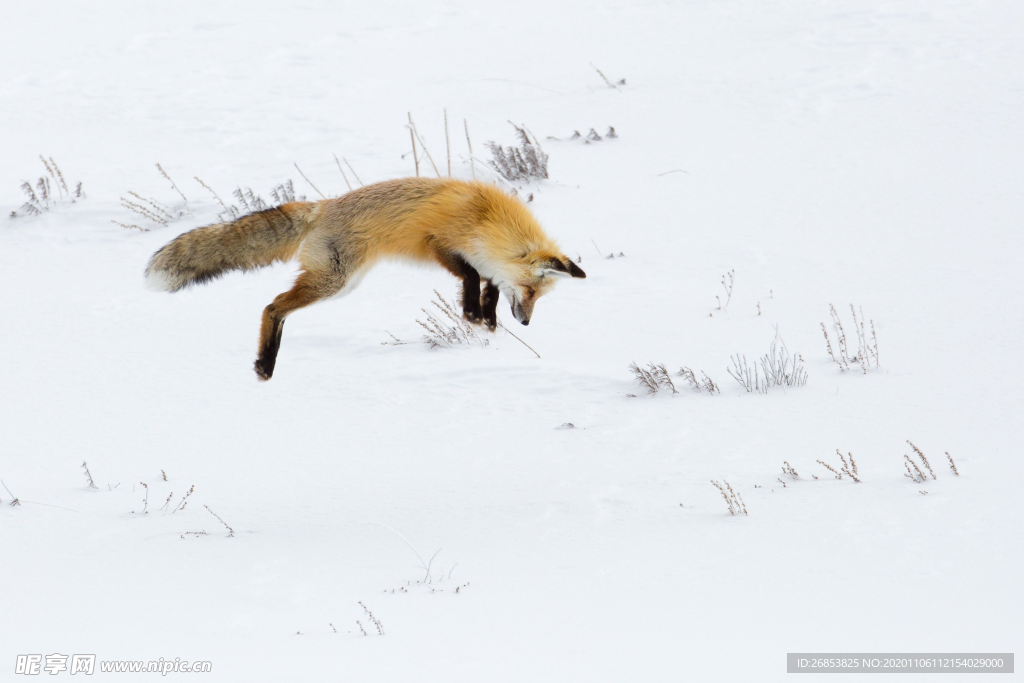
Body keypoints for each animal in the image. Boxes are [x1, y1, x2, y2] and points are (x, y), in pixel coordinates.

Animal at [148, 176, 589, 378]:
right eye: (531, 290)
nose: (526, 322)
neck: (486, 220)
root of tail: (324, 206)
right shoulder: (438, 243)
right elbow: (468, 277)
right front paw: (472, 315)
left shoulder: (484, 263)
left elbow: (490, 289)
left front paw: (487, 321)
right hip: (336, 281)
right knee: (272, 307)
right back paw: (265, 362)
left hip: (339, 281)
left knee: (280, 309)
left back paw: (266, 362)